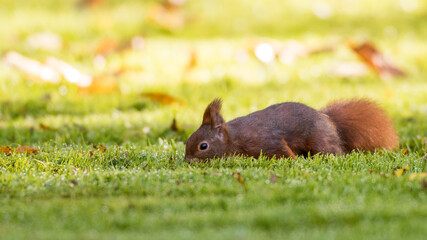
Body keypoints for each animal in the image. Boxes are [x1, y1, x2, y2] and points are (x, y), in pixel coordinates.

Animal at [186, 98, 400, 162]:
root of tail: (328, 119)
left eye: (203, 146)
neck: (233, 138)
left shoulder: (263, 140)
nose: (188, 161)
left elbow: (280, 149)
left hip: (319, 140)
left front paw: (292, 160)